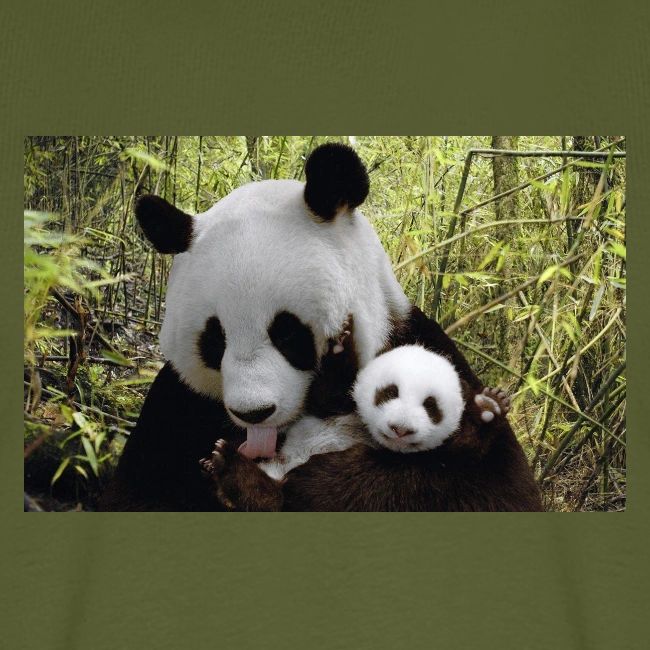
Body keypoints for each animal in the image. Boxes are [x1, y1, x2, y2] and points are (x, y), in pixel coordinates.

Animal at [100, 143, 540, 512]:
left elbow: (489, 488)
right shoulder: (178, 404)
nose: (254, 413)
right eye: (215, 340)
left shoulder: (420, 346)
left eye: (287, 333)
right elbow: (138, 493)